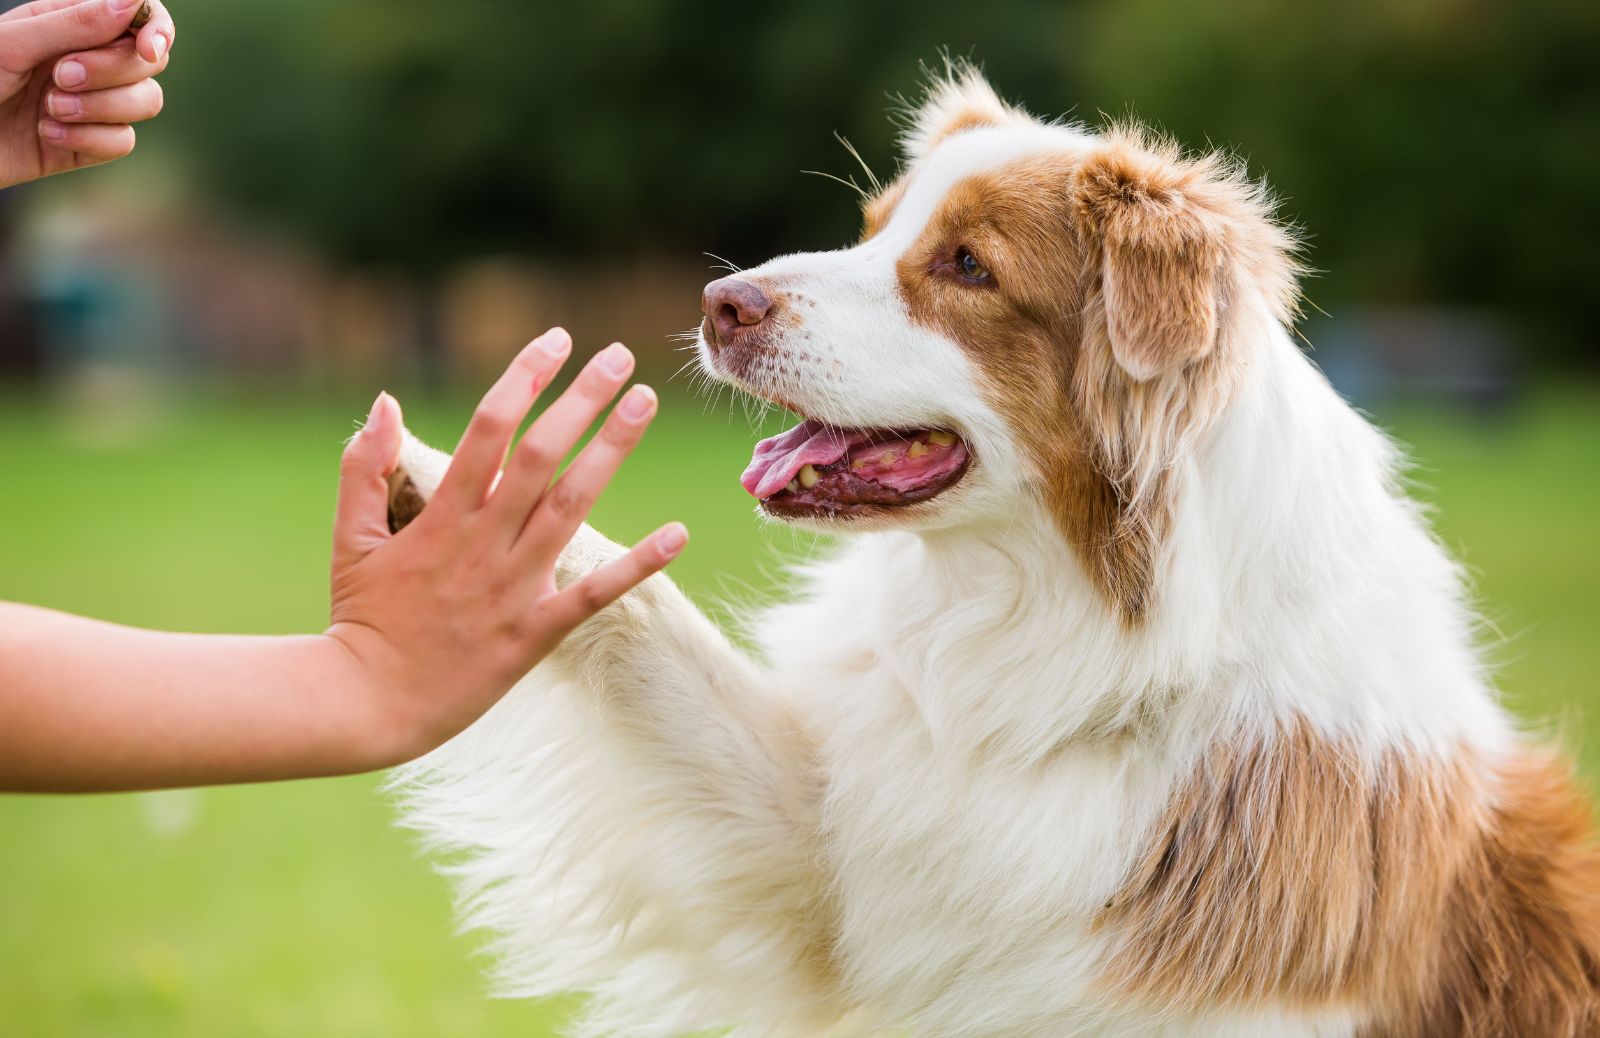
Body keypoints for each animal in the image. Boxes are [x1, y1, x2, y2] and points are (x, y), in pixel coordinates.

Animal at [387, 68, 1600, 1030]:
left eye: (969, 266)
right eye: (873, 227)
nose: (718, 300)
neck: (1068, 640)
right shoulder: (829, 858)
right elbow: (648, 621)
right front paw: (456, 497)